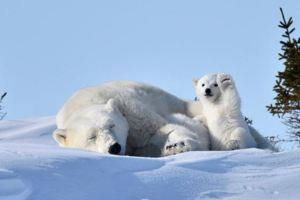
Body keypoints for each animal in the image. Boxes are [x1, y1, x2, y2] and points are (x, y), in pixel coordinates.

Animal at [52, 80, 209, 157]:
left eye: (112, 125)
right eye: (91, 137)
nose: (114, 147)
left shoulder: (129, 111)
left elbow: (160, 129)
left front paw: (178, 145)